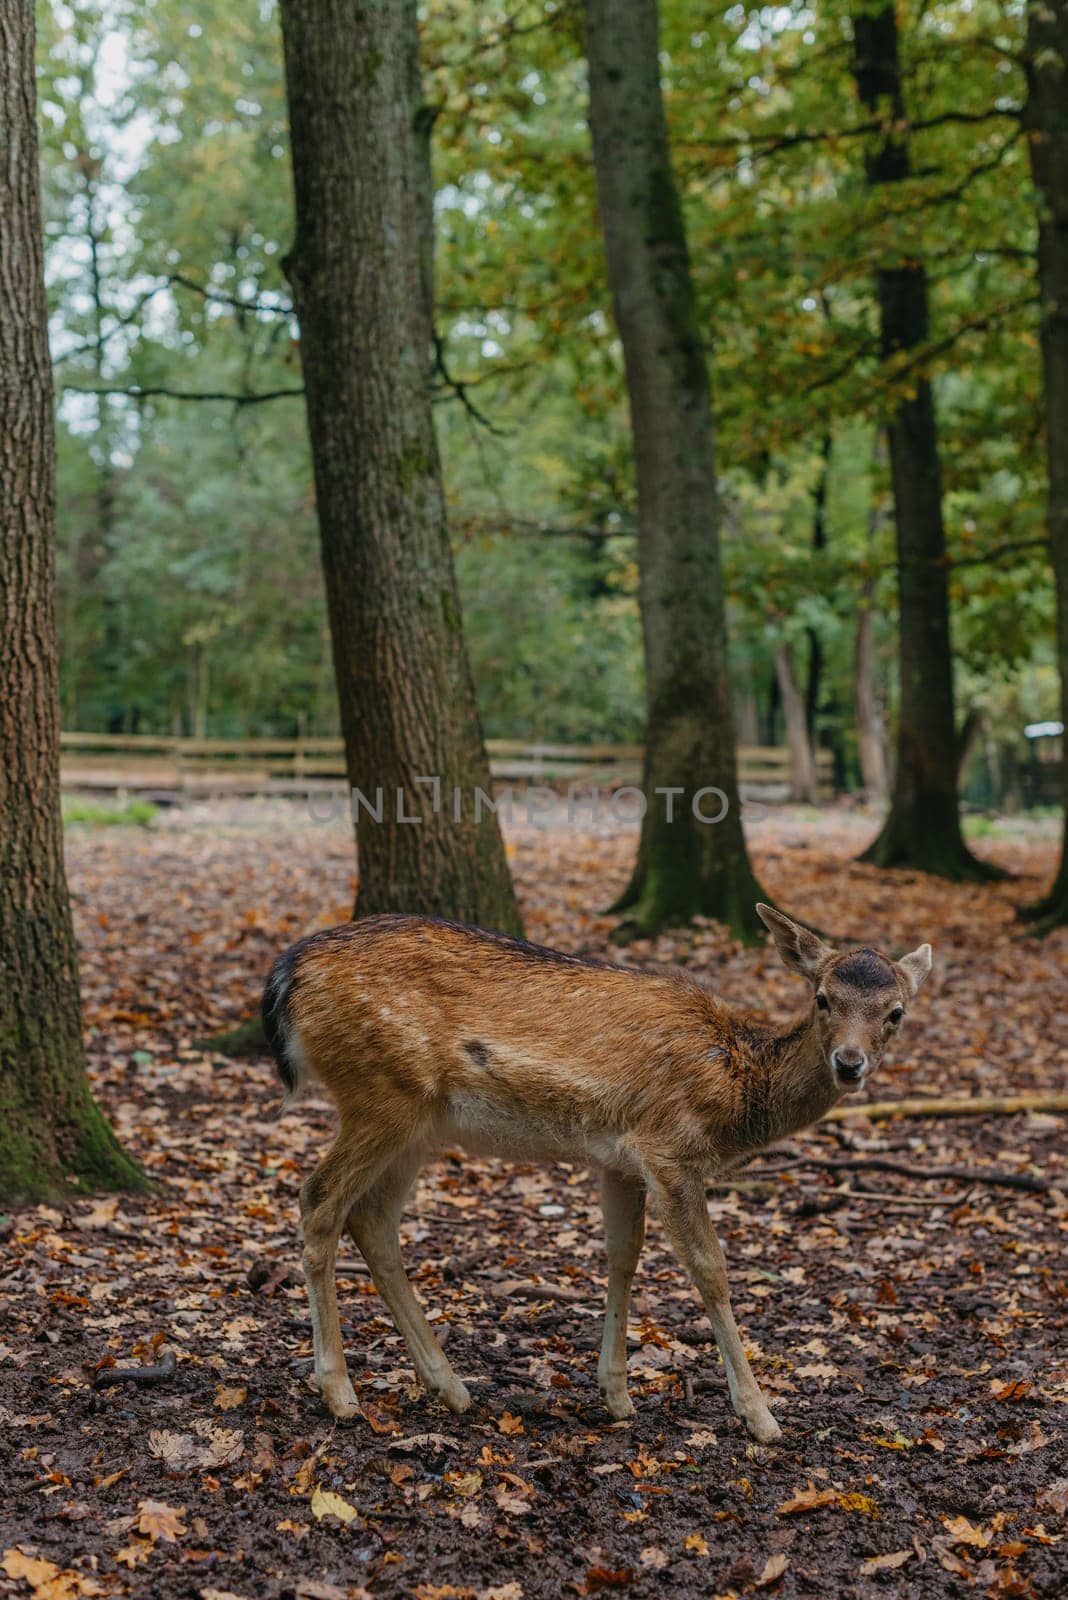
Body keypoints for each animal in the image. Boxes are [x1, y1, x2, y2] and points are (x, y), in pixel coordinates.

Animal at [262, 908, 927, 1446]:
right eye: (822, 998)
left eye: (896, 1012)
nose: (850, 1063)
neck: (734, 1091)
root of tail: (287, 976)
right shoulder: (670, 1149)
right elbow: (710, 1270)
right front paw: (760, 1416)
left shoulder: (621, 1162)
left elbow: (622, 1256)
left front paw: (617, 1396)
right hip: (380, 1094)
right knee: (319, 1198)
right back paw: (340, 1394)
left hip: (417, 1125)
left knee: (373, 1218)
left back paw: (448, 1385)